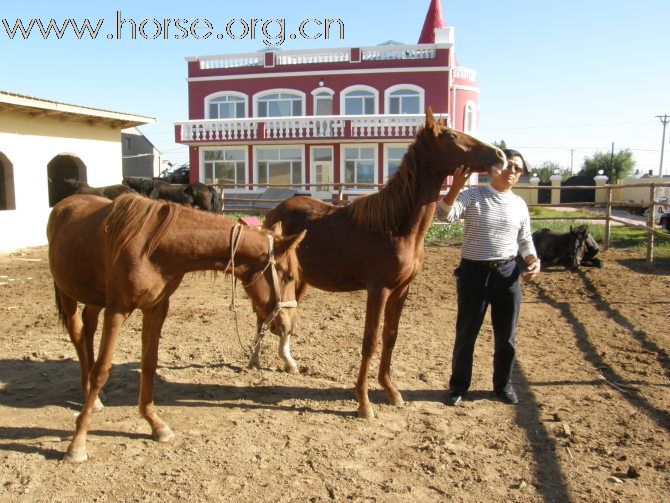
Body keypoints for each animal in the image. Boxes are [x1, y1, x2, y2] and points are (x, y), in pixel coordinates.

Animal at [48, 194, 306, 464]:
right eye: (288, 276)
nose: (290, 324)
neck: (152, 249)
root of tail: (64, 204)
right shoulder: (116, 310)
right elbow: (102, 371)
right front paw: (77, 443)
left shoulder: (156, 308)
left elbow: (149, 364)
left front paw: (155, 424)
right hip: (68, 294)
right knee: (78, 335)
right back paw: (89, 393)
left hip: (94, 299)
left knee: (88, 329)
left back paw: (94, 397)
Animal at [266, 111, 506, 422]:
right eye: (451, 136)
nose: (500, 156)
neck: (395, 226)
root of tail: (276, 210)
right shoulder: (377, 290)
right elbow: (370, 341)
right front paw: (364, 403)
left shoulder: (401, 289)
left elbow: (390, 337)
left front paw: (391, 392)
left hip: (299, 281)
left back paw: (289, 362)